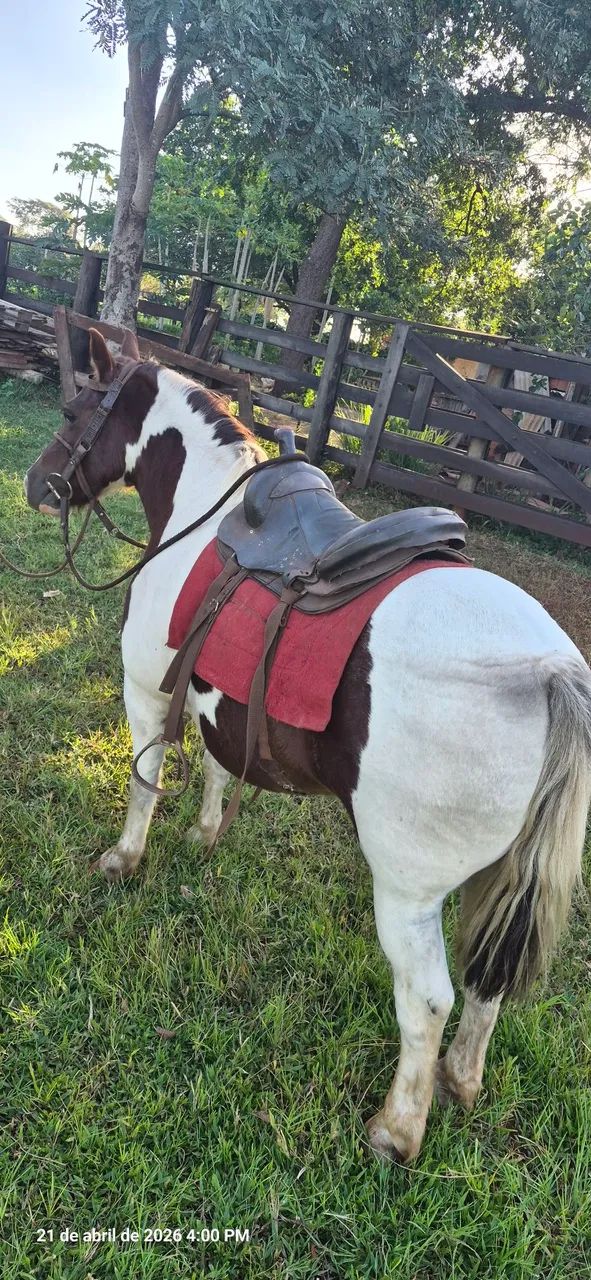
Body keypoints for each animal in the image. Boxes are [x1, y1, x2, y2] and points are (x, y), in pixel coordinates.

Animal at [24, 326, 591, 1164]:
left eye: (72, 410)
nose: (38, 485)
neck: (205, 517)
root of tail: (550, 672)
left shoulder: (146, 692)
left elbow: (143, 784)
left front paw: (125, 859)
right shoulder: (214, 701)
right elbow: (217, 772)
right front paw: (204, 837)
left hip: (407, 892)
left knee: (429, 1000)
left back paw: (396, 1129)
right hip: (499, 879)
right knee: (487, 982)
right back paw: (460, 1080)